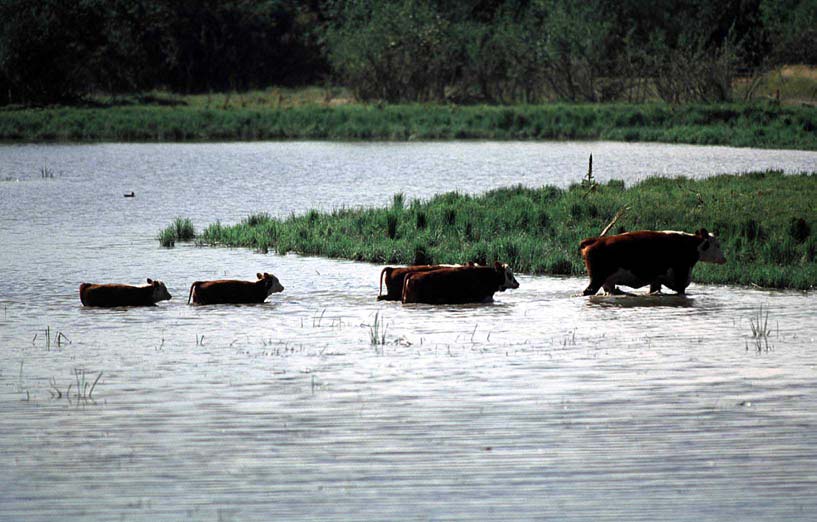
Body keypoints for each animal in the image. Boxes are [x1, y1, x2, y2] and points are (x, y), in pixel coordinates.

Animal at [580, 226, 728, 294]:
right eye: (717, 245)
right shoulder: (680, 279)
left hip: (608, 282)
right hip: (597, 279)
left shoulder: (656, 280)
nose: (724, 259)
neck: (690, 245)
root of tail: (596, 240)